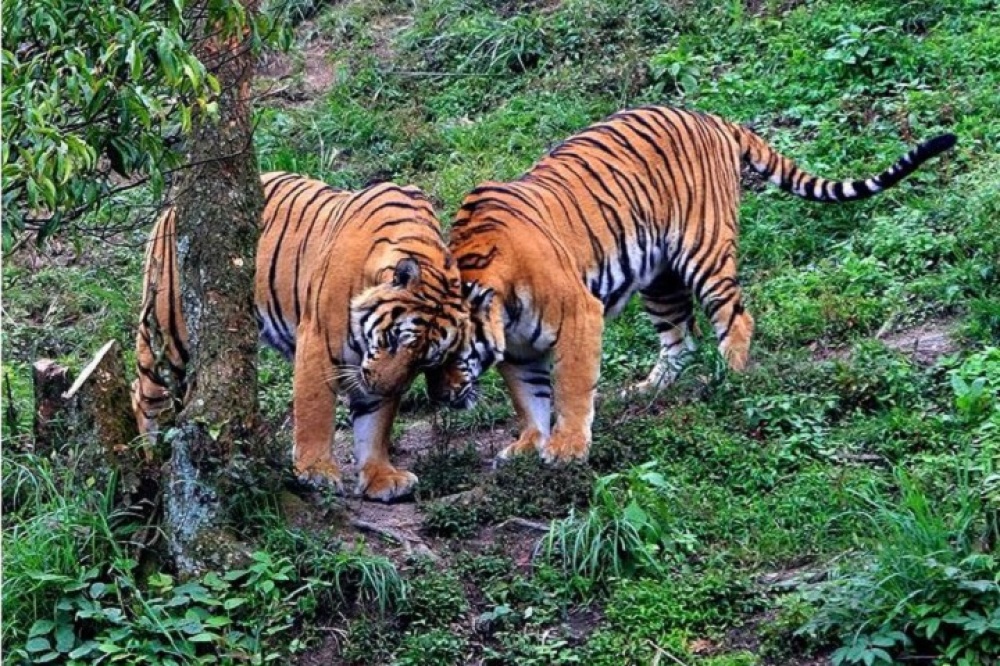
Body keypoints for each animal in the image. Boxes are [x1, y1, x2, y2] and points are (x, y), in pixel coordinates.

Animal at [133, 171, 471, 501]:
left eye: (424, 361)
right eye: (393, 339)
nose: (381, 387)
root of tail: (172, 208)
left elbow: (375, 422)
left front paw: (381, 477)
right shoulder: (317, 341)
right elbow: (315, 411)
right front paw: (316, 471)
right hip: (167, 330)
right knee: (145, 393)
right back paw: (152, 458)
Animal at [425, 105, 957, 464]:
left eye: (445, 354)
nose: (440, 399)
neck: (501, 307)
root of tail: (714, 118)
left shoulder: (578, 317)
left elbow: (571, 389)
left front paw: (567, 447)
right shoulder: (516, 351)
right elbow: (529, 399)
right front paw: (528, 443)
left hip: (704, 251)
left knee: (736, 318)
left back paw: (728, 378)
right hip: (659, 279)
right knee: (681, 343)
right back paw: (645, 390)